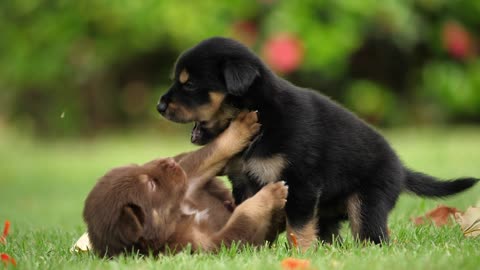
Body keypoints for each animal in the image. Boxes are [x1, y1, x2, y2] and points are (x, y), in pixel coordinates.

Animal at [83, 112, 288, 258]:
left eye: (136, 166)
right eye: (151, 185)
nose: (169, 162)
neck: (178, 216)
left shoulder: (188, 181)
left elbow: (211, 151)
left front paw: (242, 126)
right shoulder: (210, 245)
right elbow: (243, 218)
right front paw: (272, 194)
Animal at [157, 37, 476, 250]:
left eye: (189, 84)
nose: (159, 106)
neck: (263, 115)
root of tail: (401, 168)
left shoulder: (300, 183)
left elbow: (297, 227)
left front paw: (299, 254)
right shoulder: (244, 182)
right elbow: (253, 212)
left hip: (368, 202)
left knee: (373, 235)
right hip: (329, 212)